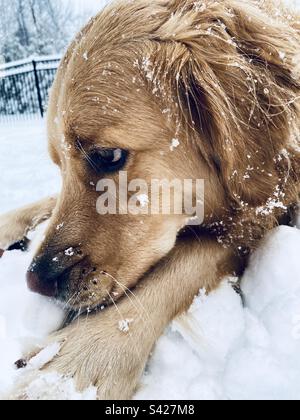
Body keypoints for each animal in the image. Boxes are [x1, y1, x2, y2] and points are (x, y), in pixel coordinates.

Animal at [0, 0, 298, 400]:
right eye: (58, 163)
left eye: (107, 155)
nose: (36, 281)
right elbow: (48, 199)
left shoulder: (264, 207)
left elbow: (186, 259)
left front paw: (76, 364)